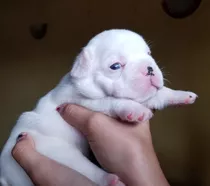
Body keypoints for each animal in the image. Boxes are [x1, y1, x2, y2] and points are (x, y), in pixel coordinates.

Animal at [0, 28, 197, 185]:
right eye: (115, 66)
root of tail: (5, 177)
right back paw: (109, 179)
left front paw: (181, 95)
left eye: (148, 54)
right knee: (87, 171)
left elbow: (158, 94)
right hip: (59, 152)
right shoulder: (84, 100)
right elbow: (112, 101)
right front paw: (135, 110)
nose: (149, 68)